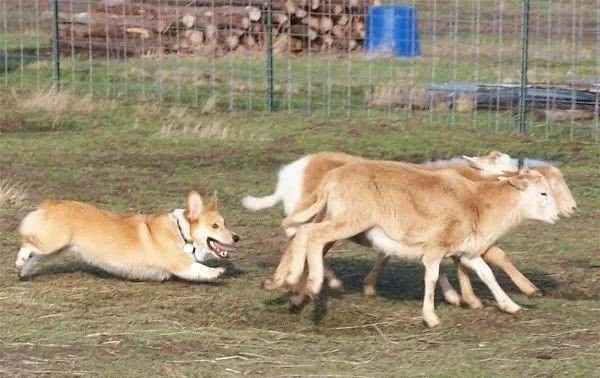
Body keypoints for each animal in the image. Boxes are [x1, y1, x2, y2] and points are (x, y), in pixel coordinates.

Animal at [14, 192, 239, 280]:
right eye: (215, 226)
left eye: (225, 223)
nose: (237, 238)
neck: (182, 232)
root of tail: (49, 203)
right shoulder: (181, 265)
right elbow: (200, 269)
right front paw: (217, 272)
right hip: (52, 242)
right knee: (27, 243)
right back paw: (20, 260)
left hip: (57, 248)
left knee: (35, 256)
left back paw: (24, 270)